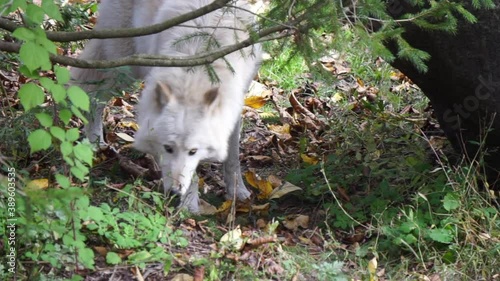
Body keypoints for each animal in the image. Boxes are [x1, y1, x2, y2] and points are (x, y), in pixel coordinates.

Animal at [72, 0, 264, 212]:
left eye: (193, 151)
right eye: (168, 148)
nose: (174, 192)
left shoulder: (233, 112)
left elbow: (232, 158)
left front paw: (238, 193)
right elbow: (192, 175)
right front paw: (189, 205)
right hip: (125, 67)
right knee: (91, 94)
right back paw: (94, 142)